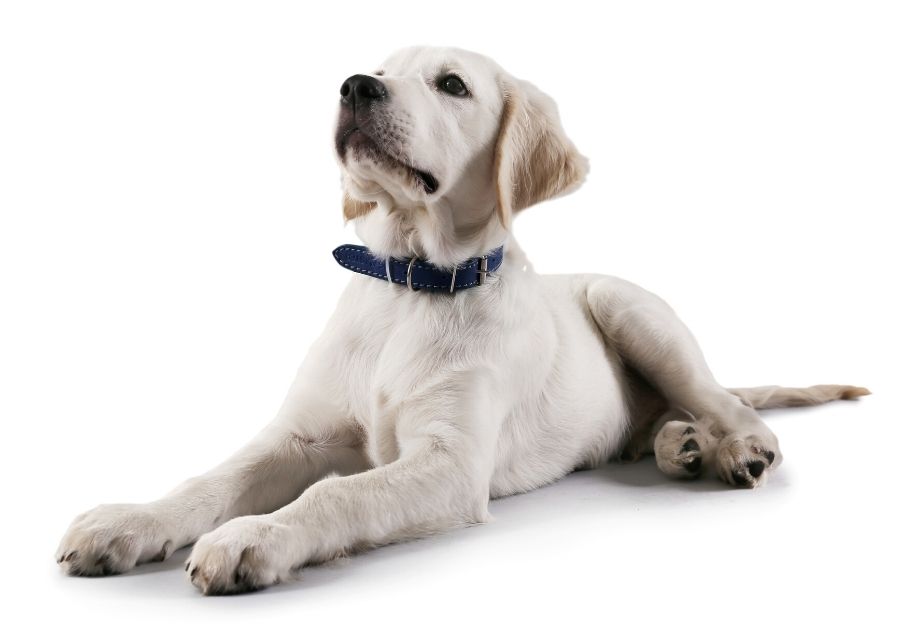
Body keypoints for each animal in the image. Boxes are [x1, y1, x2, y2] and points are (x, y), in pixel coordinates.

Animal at [52, 47, 868, 596]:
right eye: (380, 68)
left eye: (452, 85)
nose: (354, 86)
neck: (407, 285)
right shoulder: (299, 436)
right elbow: (211, 479)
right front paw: (130, 520)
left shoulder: (451, 465)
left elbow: (337, 493)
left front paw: (257, 534)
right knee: (665, 422)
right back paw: (682, 446)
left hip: (631, 309)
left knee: (727, 402)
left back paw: (736, 450)